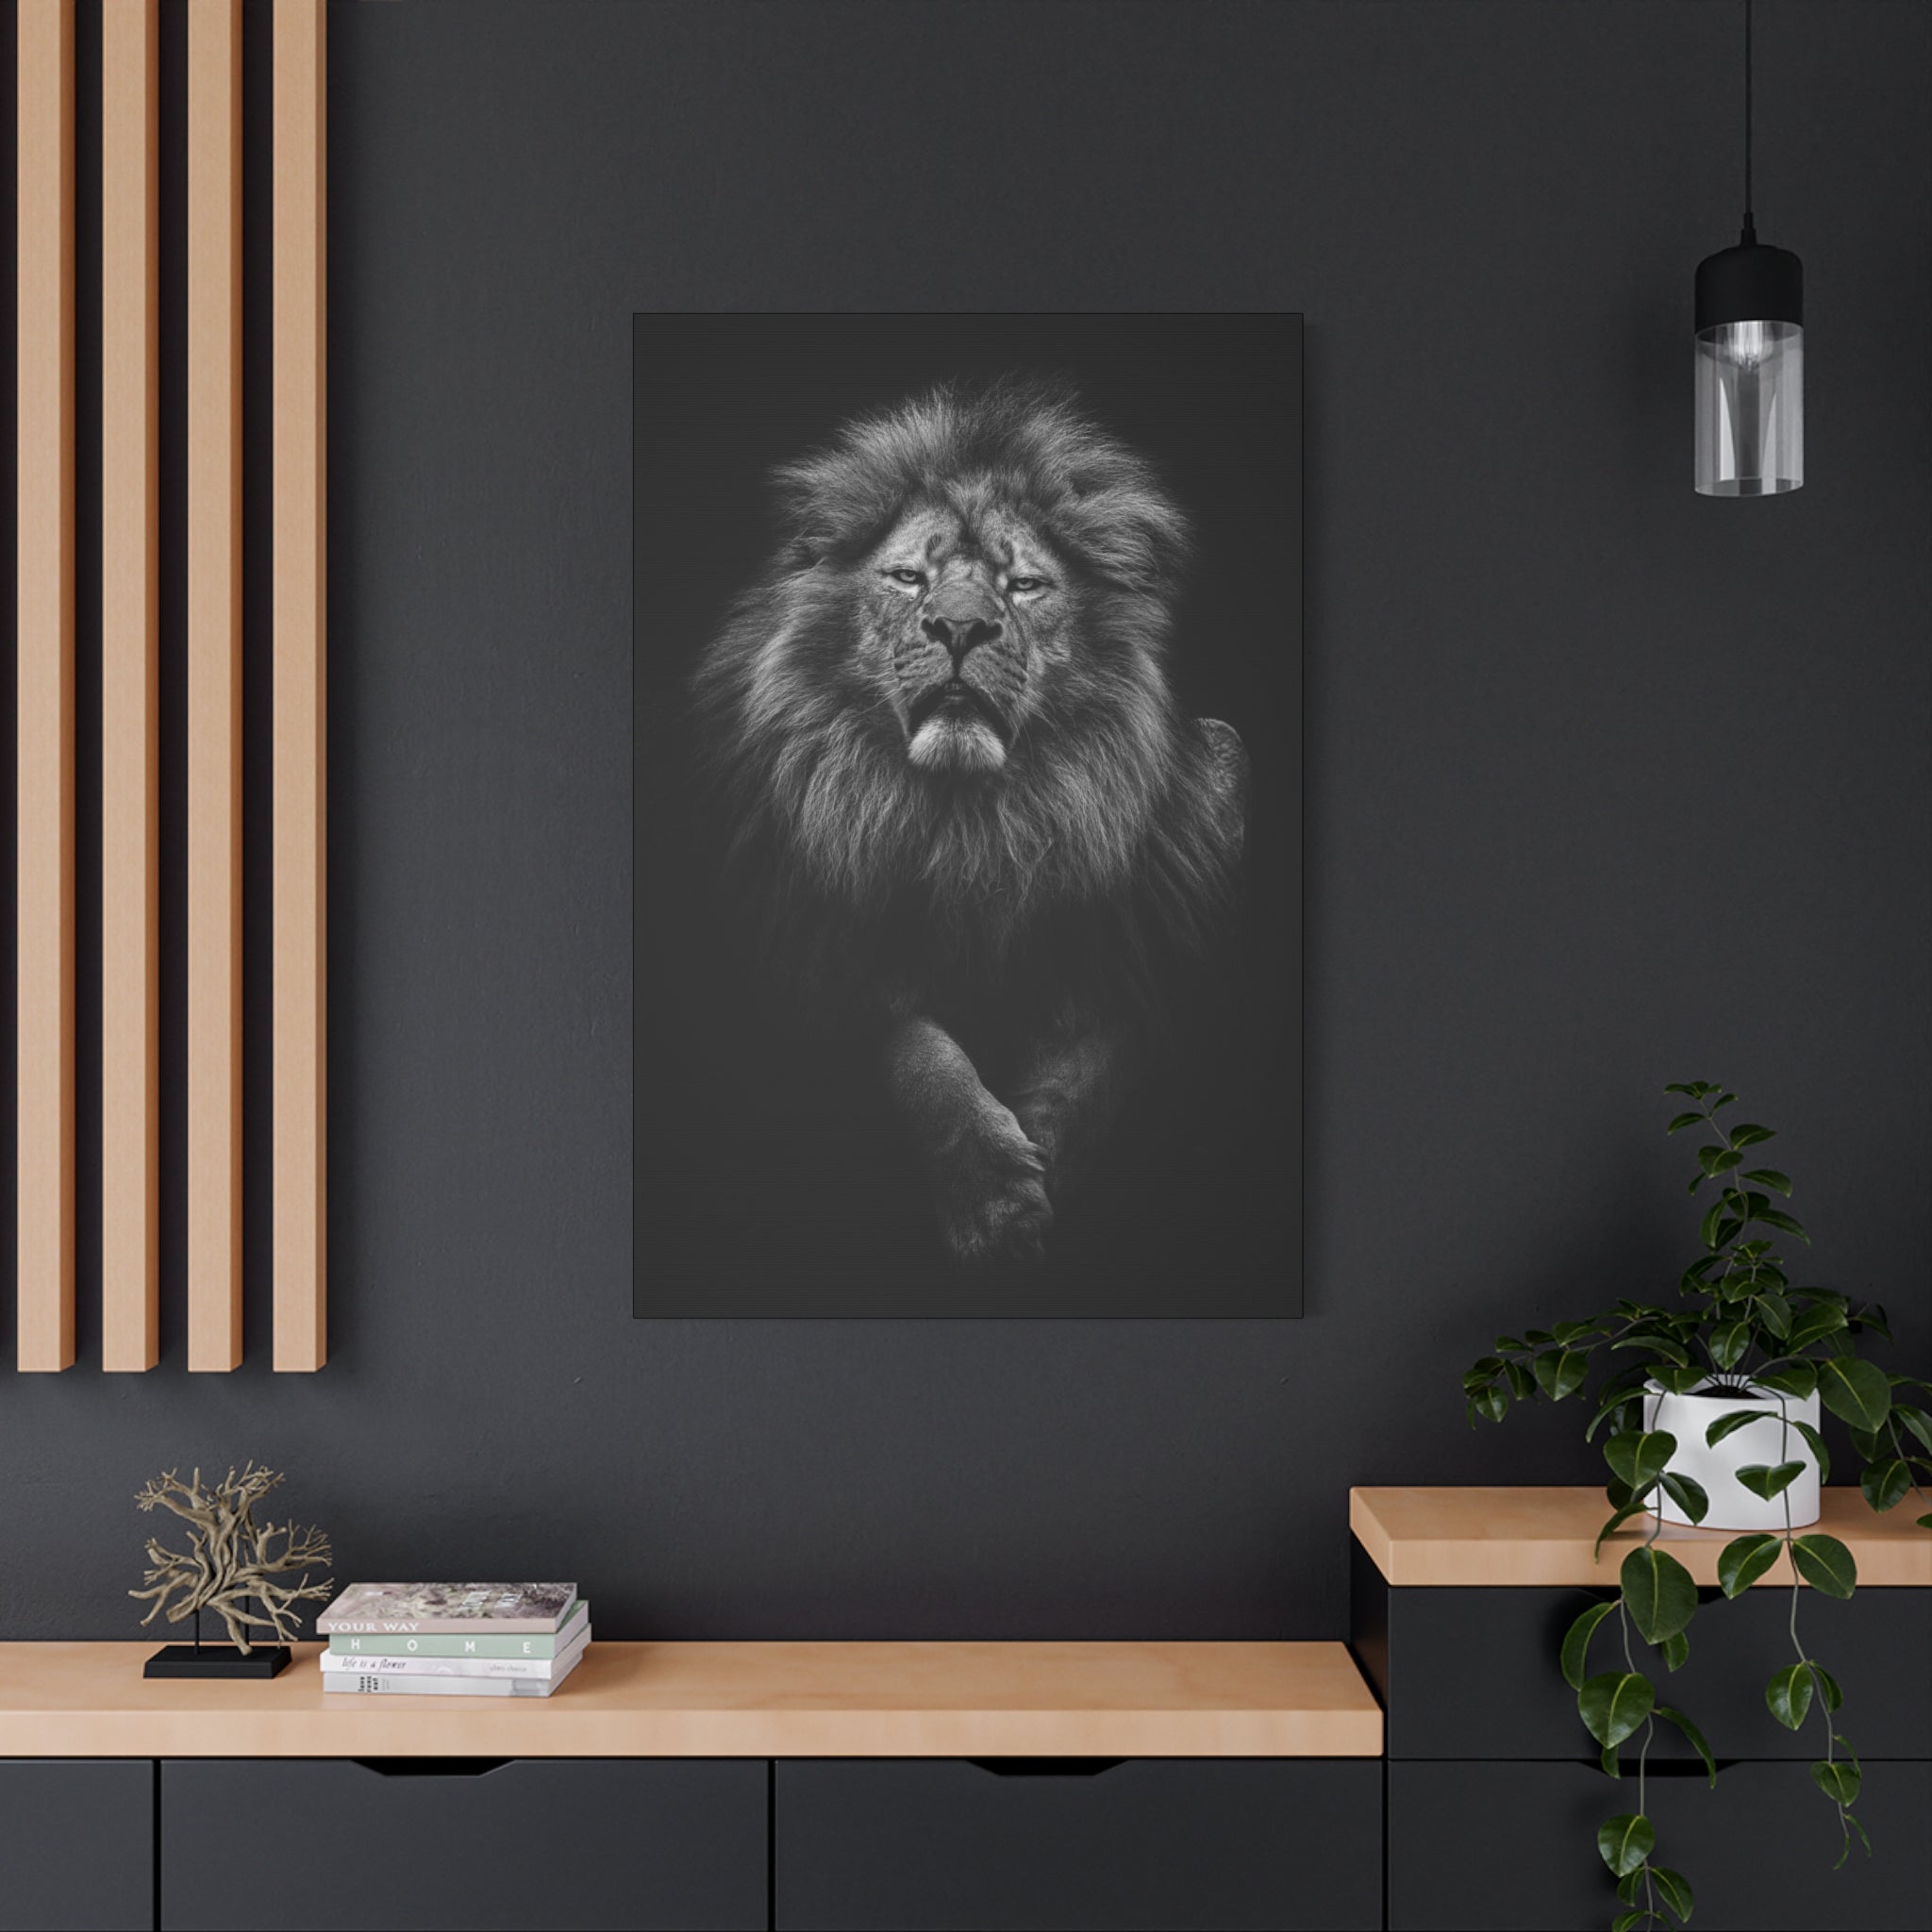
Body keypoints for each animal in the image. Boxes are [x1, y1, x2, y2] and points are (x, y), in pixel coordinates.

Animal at [691, 379, 1247, 1272]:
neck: (971, 821)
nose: (959, 628)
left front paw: (1043, 1163)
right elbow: (918, 1052)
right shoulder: (822, 945)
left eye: (1023, 587)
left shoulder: (1145, 939)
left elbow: (1092, 1061)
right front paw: (993, 1196)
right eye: (908, 577)